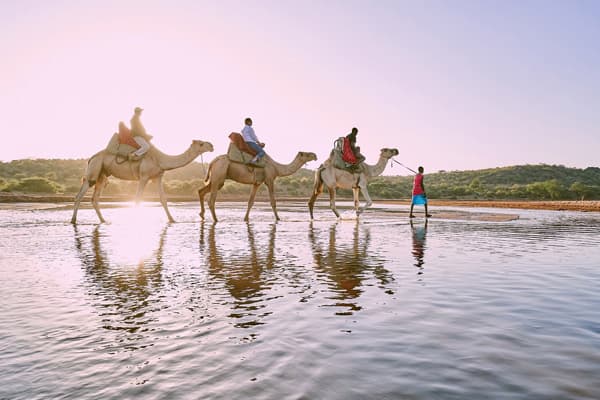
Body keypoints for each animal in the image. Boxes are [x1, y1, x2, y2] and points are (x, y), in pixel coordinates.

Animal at [71, 139, 213, 223]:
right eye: (201, 143)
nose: (211, 145)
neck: (160, 160)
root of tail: (91, 158)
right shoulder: (144, 177)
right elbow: (138, 199)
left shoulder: (158, 177)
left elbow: (163, 199)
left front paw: (172, 220)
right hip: (94, 170)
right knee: (80, 193)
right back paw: (73, 220)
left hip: (103, 175)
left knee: (95, 198)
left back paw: (104, 220)